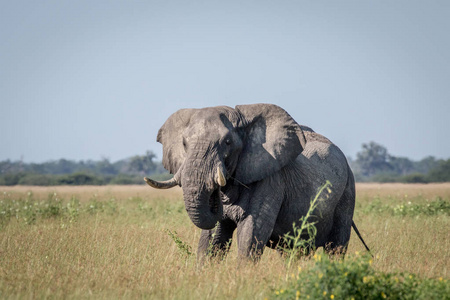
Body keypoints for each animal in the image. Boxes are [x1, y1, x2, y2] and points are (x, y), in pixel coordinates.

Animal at [145, 102, 370, 260]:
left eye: (227, 142)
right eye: (184, 143)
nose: (216, 193)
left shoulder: (270, 180)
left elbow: (251, 233)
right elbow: (212, 239)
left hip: (348, 191)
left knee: (336, 246)